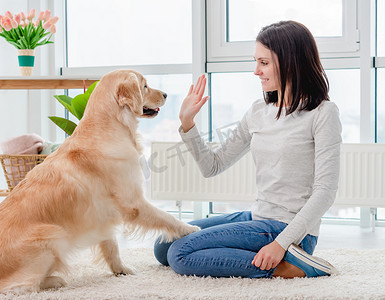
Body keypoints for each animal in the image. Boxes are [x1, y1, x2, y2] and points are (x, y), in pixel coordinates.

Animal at [0, 69, 198, 290]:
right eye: (145, 86)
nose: (165, 94)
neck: (109, 128)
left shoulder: (102, 211)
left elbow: (111, 244)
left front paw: (121, 270)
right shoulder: (134, 202)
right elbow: (167, 217)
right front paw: (189, 228)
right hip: (53, 235)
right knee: (21, 286)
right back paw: (54, 280)